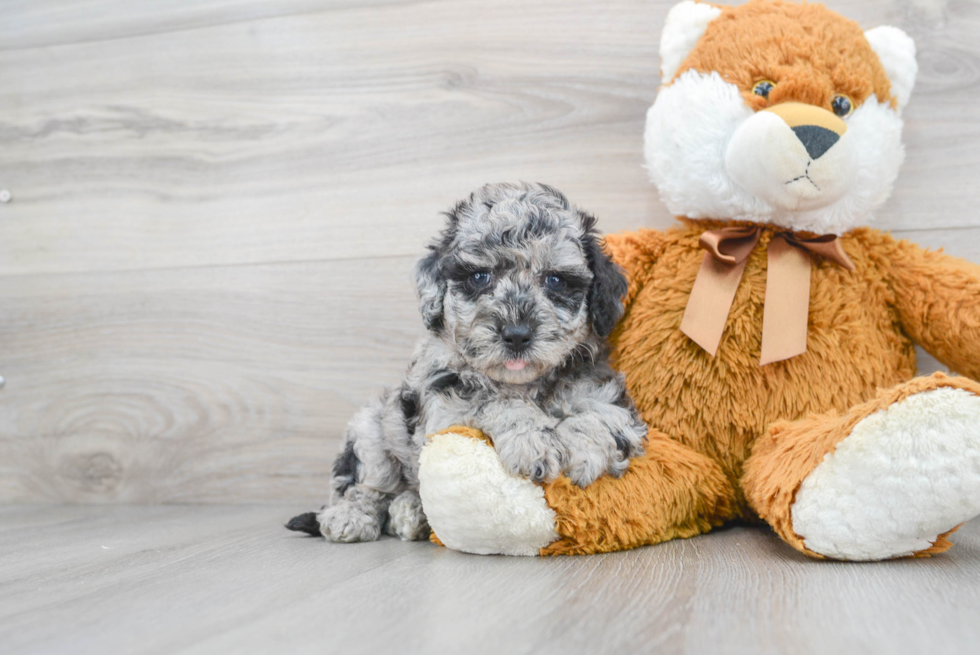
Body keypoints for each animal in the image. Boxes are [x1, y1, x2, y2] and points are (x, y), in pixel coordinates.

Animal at [288, 183, 648, 544]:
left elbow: (600, 415)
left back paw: (411, 514)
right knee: (366, 485)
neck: (526, 385)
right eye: (479, 277)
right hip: (371, 428)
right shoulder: (444, 409)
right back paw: (352, 517)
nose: (516, 334)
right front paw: (532, 440)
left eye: (555, 281)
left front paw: (583, 449)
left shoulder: (605, 393)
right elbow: (494, 401)